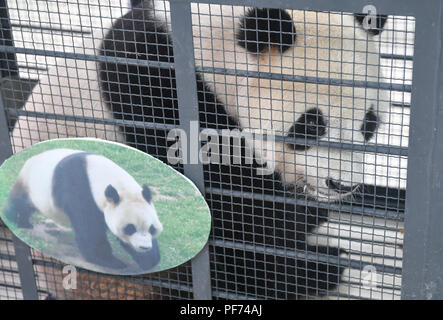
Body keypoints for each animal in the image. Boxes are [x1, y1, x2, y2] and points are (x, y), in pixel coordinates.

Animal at [4, 149, 165, 272]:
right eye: (130, 228)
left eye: (151, 228)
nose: (144, 247)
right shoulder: (79, 188)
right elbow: (90, 230)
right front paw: (110, 261)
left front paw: (149, 259)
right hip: (30, 185)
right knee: (19, 203)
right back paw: (13, 218)